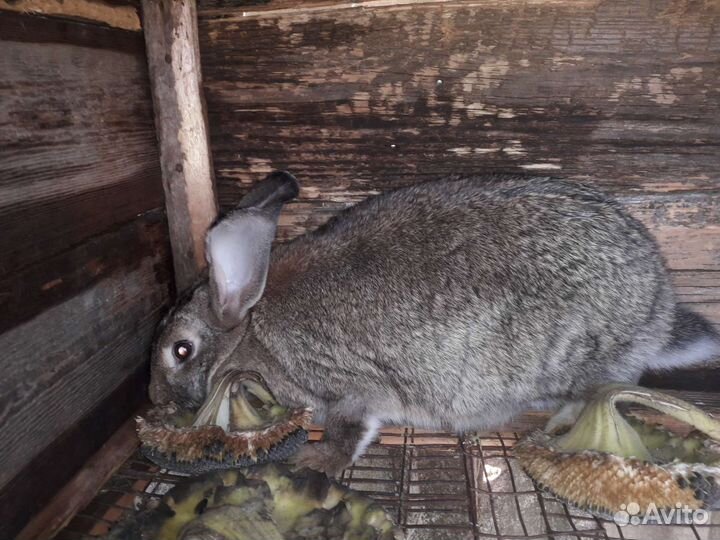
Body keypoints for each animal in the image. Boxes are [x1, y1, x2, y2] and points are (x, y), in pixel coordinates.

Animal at [149, 171, 720, 475]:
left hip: (580, 355)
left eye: (181, 350)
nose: (157, 400)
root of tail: (659, 305)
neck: (250, 328)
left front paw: (317, 462)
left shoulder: (344, 384)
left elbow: (349, 428)